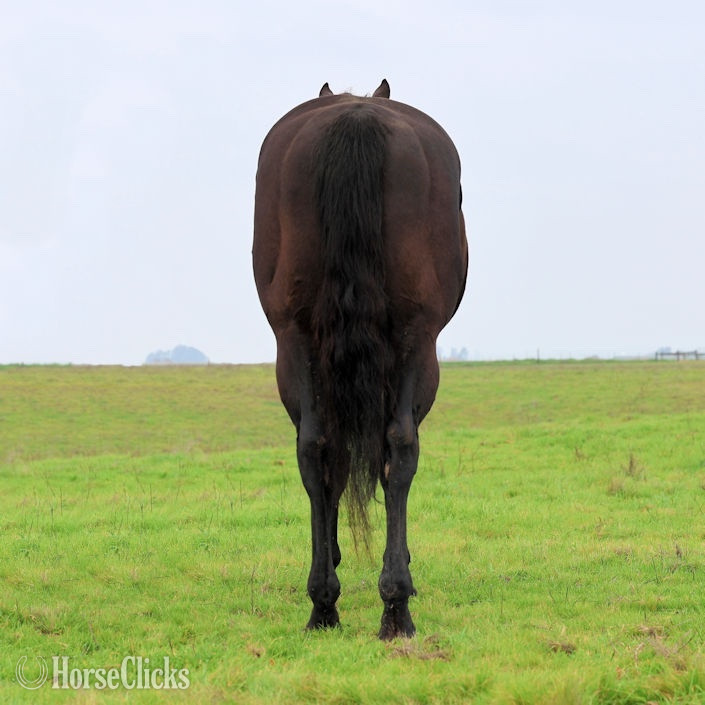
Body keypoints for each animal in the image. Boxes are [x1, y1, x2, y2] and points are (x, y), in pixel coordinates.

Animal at [252, 79, 468, 639]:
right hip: (417, 342)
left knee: (317, 448)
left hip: (298, 338)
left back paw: (324, 603)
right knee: (399, 447)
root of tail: (356, 115)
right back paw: (395, 606)